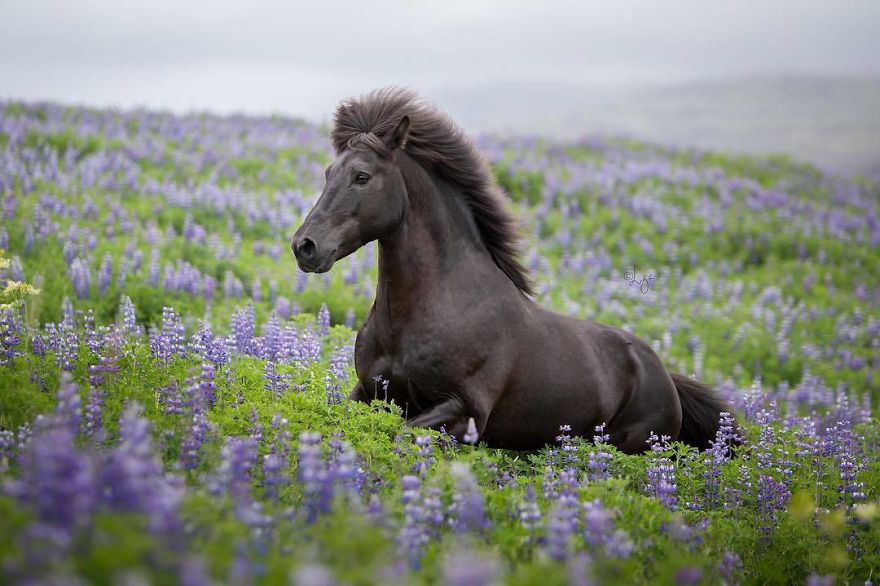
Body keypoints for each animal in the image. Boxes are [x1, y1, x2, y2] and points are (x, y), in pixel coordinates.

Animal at [291, 87, 735, 454]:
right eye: (329, 173)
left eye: (362, 177)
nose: (304, 246)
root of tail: (665, 375)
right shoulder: (367, 391)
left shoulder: (464, 411)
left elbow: (401, 434)